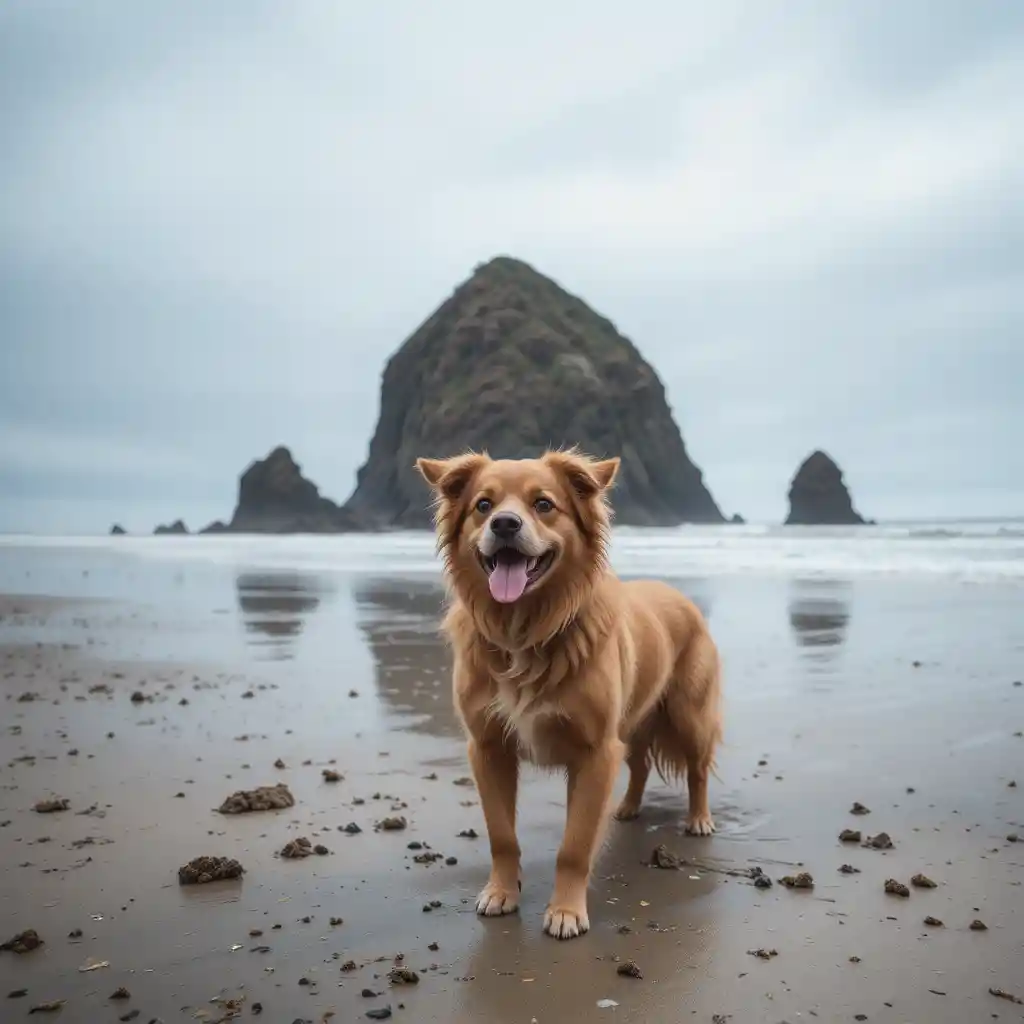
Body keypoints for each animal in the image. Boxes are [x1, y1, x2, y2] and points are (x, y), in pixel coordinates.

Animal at [413, 444, 720, 937]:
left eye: (543, 504)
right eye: (483, 505)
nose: (504, 524)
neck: (525, 629)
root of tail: (678, 594)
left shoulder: (595, 752)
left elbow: (574, 845)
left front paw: (566, 911)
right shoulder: (488, 748)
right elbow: (502, 835)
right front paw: (501, 892)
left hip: (689, 716)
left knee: (697, 770)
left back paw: (699, 818)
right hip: (632, 725)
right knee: (638, 766)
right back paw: (627, 807)